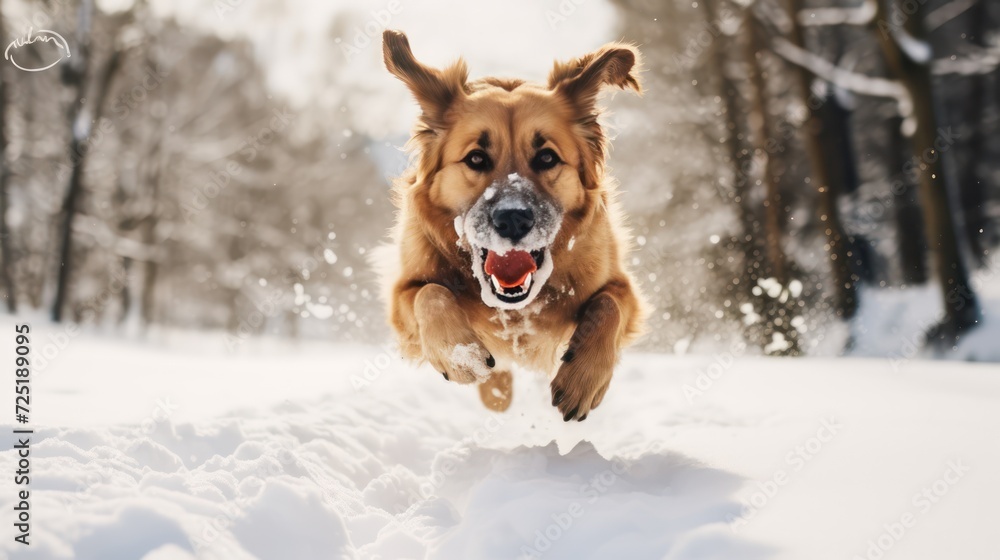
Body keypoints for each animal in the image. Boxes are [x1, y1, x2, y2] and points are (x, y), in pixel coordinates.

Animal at [378, 29, 644, 420]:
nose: (513, 218)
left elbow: (608, 304)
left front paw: (582, 380)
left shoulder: (622, 286)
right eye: (476, 158)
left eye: (547, 157)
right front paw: (463, 356)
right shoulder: (403, 291)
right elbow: (431, 293)